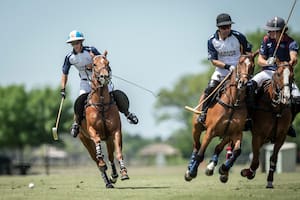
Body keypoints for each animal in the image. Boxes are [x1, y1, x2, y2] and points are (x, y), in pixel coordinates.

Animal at [78, 50, 128, 188]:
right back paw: (106, 180)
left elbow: (118, 152)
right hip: (84, 140)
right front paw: (101, 159)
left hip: (108, 139)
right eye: (94, 64)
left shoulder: (115, 131)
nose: (104, 77)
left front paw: (123, 172)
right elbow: (97, 142)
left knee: (110, 157)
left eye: (107, 63)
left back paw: (113, 177)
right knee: (96, 160)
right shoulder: (92, 130)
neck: (101, 103)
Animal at [184, 53, 256, 183]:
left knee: (218, 147)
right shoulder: (210, 131)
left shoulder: (237, 132)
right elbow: (200, 154)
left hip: (227, 134)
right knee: (197, 146)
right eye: (240, 63)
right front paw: (192, 172)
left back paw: (212, 167)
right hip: (196, 128)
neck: (233, 103)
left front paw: (223, 169)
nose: (243, 82)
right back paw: (190, 169)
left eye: (252, 66)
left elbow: (237, 151)